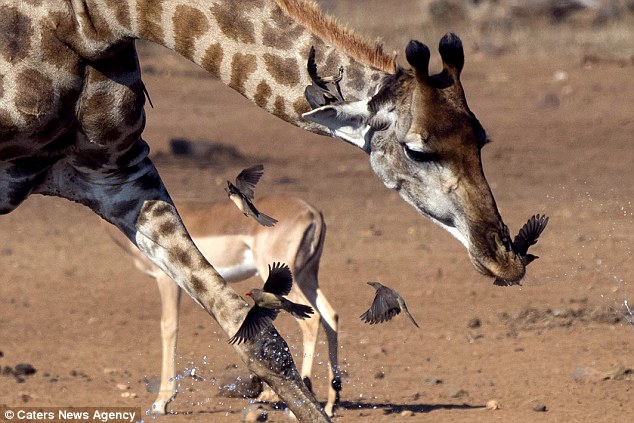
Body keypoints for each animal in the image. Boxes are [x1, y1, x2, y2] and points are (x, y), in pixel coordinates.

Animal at [1, 0, 524, 420]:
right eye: (417, 150)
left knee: (317, 316)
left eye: (482, 139)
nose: (505, 256)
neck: (98, 19)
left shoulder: (120, 175)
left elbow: (253, 337)